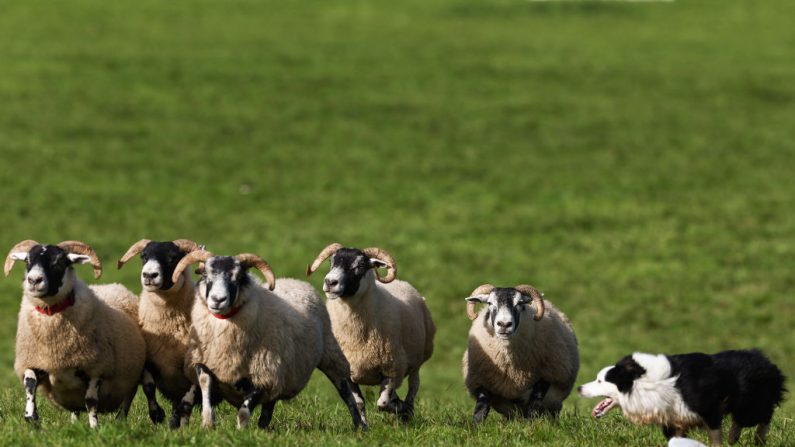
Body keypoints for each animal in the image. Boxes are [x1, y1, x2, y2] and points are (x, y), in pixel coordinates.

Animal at [3, 240, 146, 428]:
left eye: (59, 262)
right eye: (27, 261)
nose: (34, 280)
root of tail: (115, 286)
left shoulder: (97, 368)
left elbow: (91, 401)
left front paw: (94, 428)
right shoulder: (32, 359)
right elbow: (30, 386)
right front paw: (31, 418)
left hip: (132, 376)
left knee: (127, 399)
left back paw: (119, 421)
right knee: (76, 407)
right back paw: (74, 424)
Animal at [170, 250, 366, 432]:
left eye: (238, 277)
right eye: (205, 275)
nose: (218, 300)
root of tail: (295, 281)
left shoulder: (265, 375)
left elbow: (244, 410)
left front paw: (241, 433)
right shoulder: (202, 361)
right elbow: (204, 380)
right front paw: (207, 422)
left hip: (330, 356)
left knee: (346, 391)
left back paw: (360, 427)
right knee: (269, 406)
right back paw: (263, 428)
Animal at [308, 245, 438, 424]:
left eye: (360, 265)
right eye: (331, 262)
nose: (330, 282)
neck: (355, 335)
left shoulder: (393, 368)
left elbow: (382, 403)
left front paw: (400, 408)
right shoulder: (348, 371)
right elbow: (359, 403)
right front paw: (364, 424)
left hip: (417, 360)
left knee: (413, 386)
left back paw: (407, 411)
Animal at [460, 284, 580, 424]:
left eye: (520, 303)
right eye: (489, 303)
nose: (504, 324)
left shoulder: (547, 374)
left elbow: (534, 404)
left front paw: (532, 425)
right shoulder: (481, 378)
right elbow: (481, 407)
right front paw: (475, 425)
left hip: (553, 401)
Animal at [580, 352, 788, 446]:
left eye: (600, 380)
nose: (579, 388)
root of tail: (766, 361)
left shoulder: (708, 409)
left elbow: (715, 437)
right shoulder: (674, 420)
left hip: (749, 401)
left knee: (763, 415)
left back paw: (757, 438)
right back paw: (734, 436)